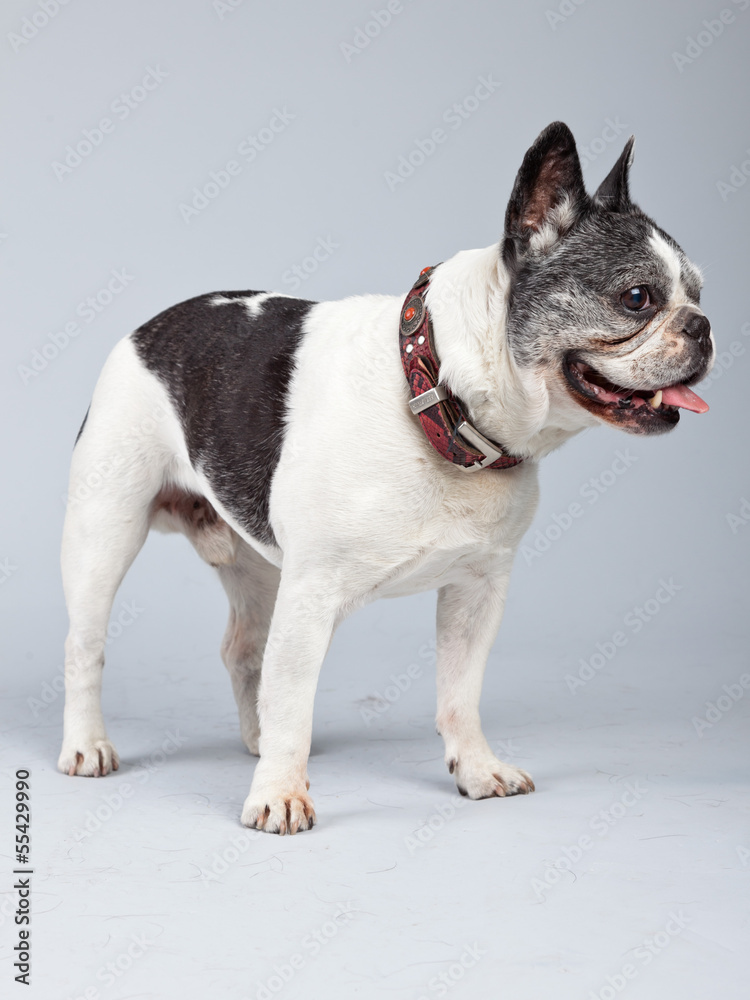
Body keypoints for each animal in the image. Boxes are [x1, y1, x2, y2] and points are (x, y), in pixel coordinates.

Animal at [58, 121, 716, 832]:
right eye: (637, 299)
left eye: (700, 295)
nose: (704, 327)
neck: (438, 392)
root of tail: (147, 328)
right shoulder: (312, 593)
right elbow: (295, 700)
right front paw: (281, 794)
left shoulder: (476, 590)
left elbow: (460, 693)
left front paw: (476, 770)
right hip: (106, 532)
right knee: (86, 645)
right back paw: (88, 745)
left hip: (260, 566)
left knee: (245, 649)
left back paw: (255, 738)